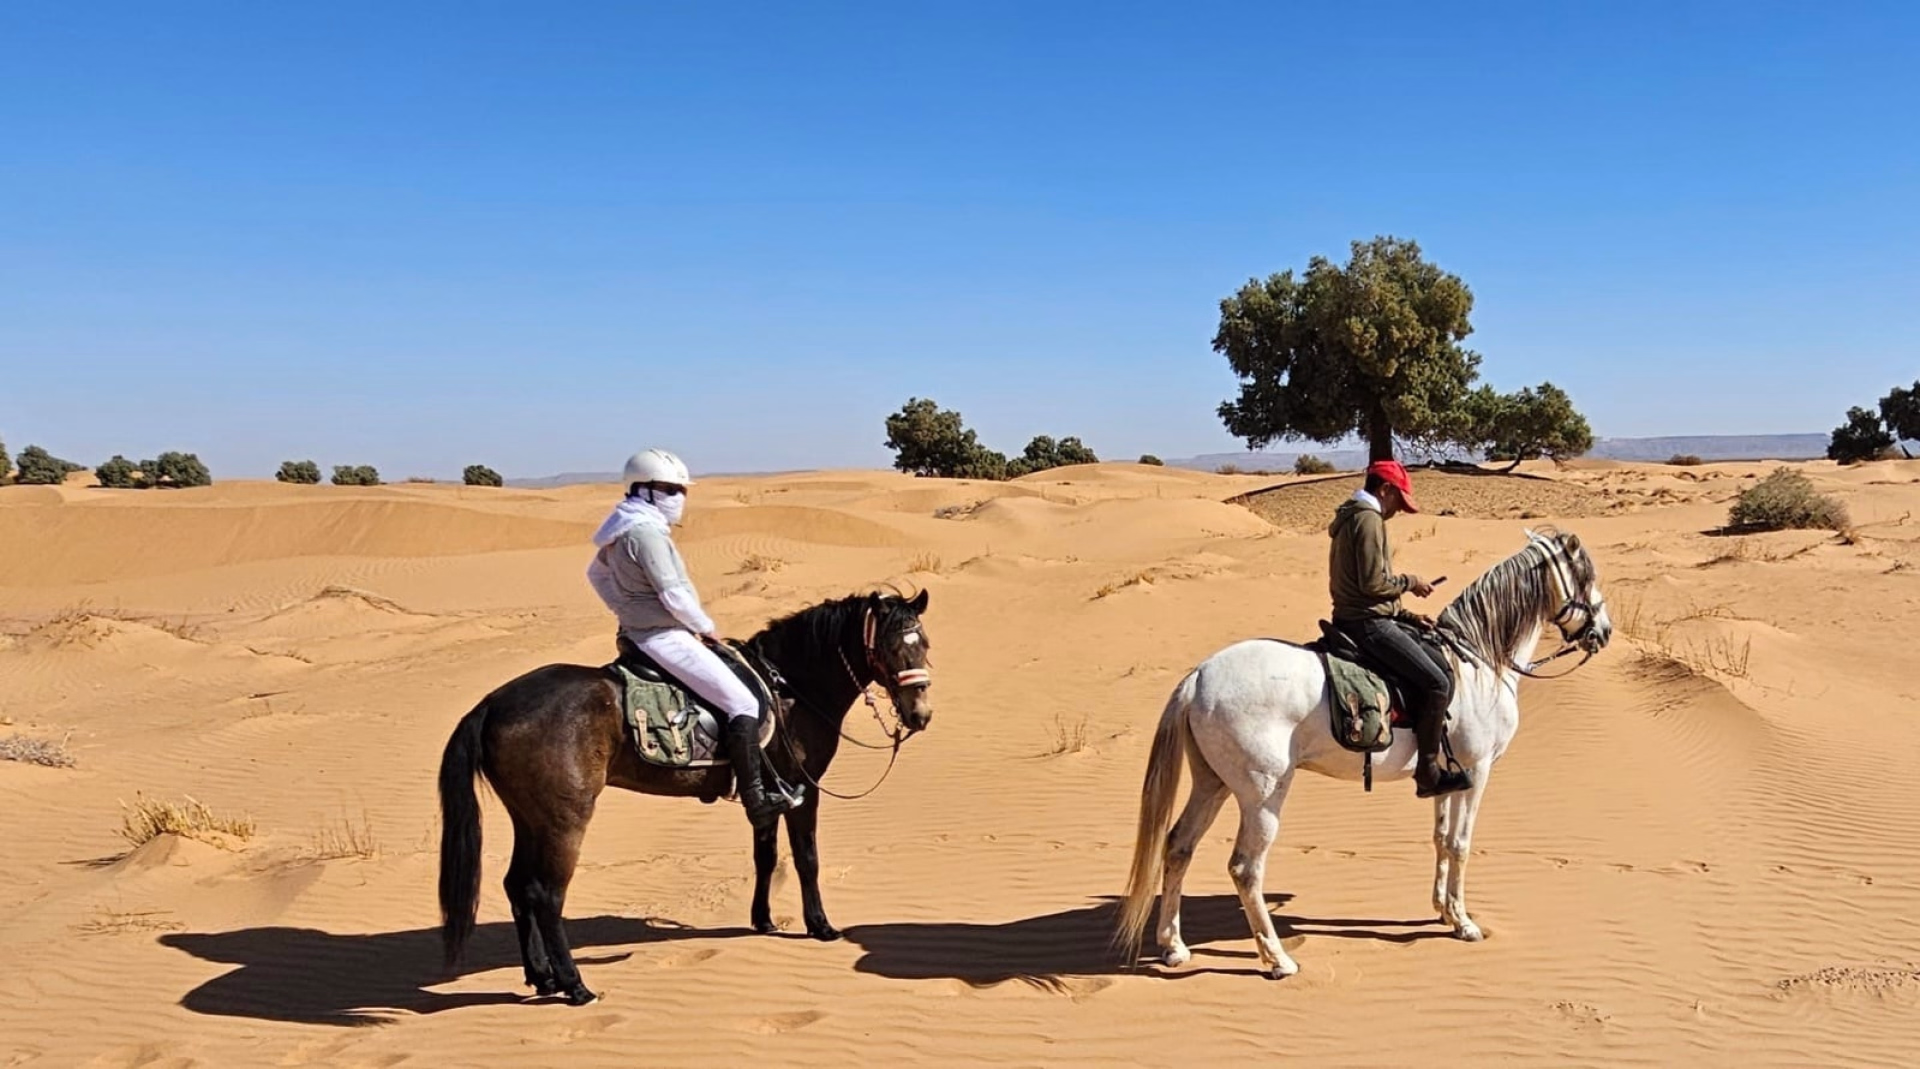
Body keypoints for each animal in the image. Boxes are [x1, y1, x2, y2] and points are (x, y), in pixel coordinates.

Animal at [438, 589, 934, 1006]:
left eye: (924, 643)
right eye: (891, 647)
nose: (921, 715)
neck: (792, 686)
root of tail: (491, 704)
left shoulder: (767, 792)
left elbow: (766, 856)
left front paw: (763, 920)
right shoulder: (802, 788)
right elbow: (806, 859)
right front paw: (821, 926)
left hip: (530, 818)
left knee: (518, 886)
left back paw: (542, 977)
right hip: (564, 820)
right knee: (546, 894)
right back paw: (575, 986)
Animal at [1114, 528, 1612, 978]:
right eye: (1585, 577)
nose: (1603, 633)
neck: (1479, 662)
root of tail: (1199, 676)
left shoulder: (1451, 775)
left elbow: (1441, 838)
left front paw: (1442, 909)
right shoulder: (1478, 770)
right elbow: (1461, 844)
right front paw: (1464, 922)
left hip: (1212, 783)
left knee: (1179, 847)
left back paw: (1173, 947)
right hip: (1261, 794)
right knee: (1245, 868)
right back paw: (1277, 960)